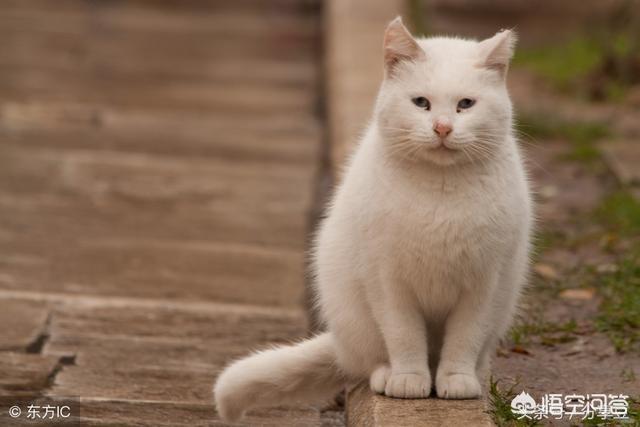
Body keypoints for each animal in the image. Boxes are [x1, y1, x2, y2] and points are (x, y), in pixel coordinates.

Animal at [212, 17, 532, 422]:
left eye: (465, 105)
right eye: (421, 103)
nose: (442, 127)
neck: (440, 190)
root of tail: (339, 343)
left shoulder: (483, 283)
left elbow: (465, 337)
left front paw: (456, 380)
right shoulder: (387, 281)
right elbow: (403, 334)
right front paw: (409, 379)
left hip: (504, 300)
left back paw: (470, 373)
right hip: (353, 312)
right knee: (368, 361)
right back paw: (387, 374)